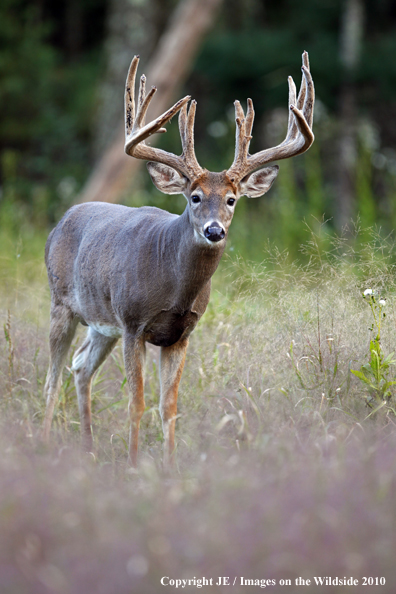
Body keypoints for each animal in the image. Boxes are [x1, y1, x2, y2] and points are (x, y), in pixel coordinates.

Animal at [42, 52, 316, 468]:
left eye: (232, 199)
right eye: (195, 197)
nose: (214, 231)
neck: (174, 289)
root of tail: (61, 221)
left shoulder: (181, 333)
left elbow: (168, 407)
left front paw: (169, 468)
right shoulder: (133, 323)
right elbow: (136, 404)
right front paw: (134, 465)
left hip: (101, 323)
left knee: (80, 366)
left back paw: (88, 449)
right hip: (62, 304)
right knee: (52, 376)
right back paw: (39, 441)